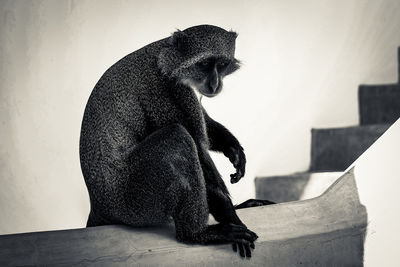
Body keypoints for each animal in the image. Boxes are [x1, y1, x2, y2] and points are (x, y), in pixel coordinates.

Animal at [79, 24, 274, 258]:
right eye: (205, 64)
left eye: (222, 64)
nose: (215, 83)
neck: (163, 54)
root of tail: (97, 205)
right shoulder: (166, 89)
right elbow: (198, 151)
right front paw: (232, 218)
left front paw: (233, 147)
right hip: (133, 203)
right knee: (176, 137)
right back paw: (196, 233)